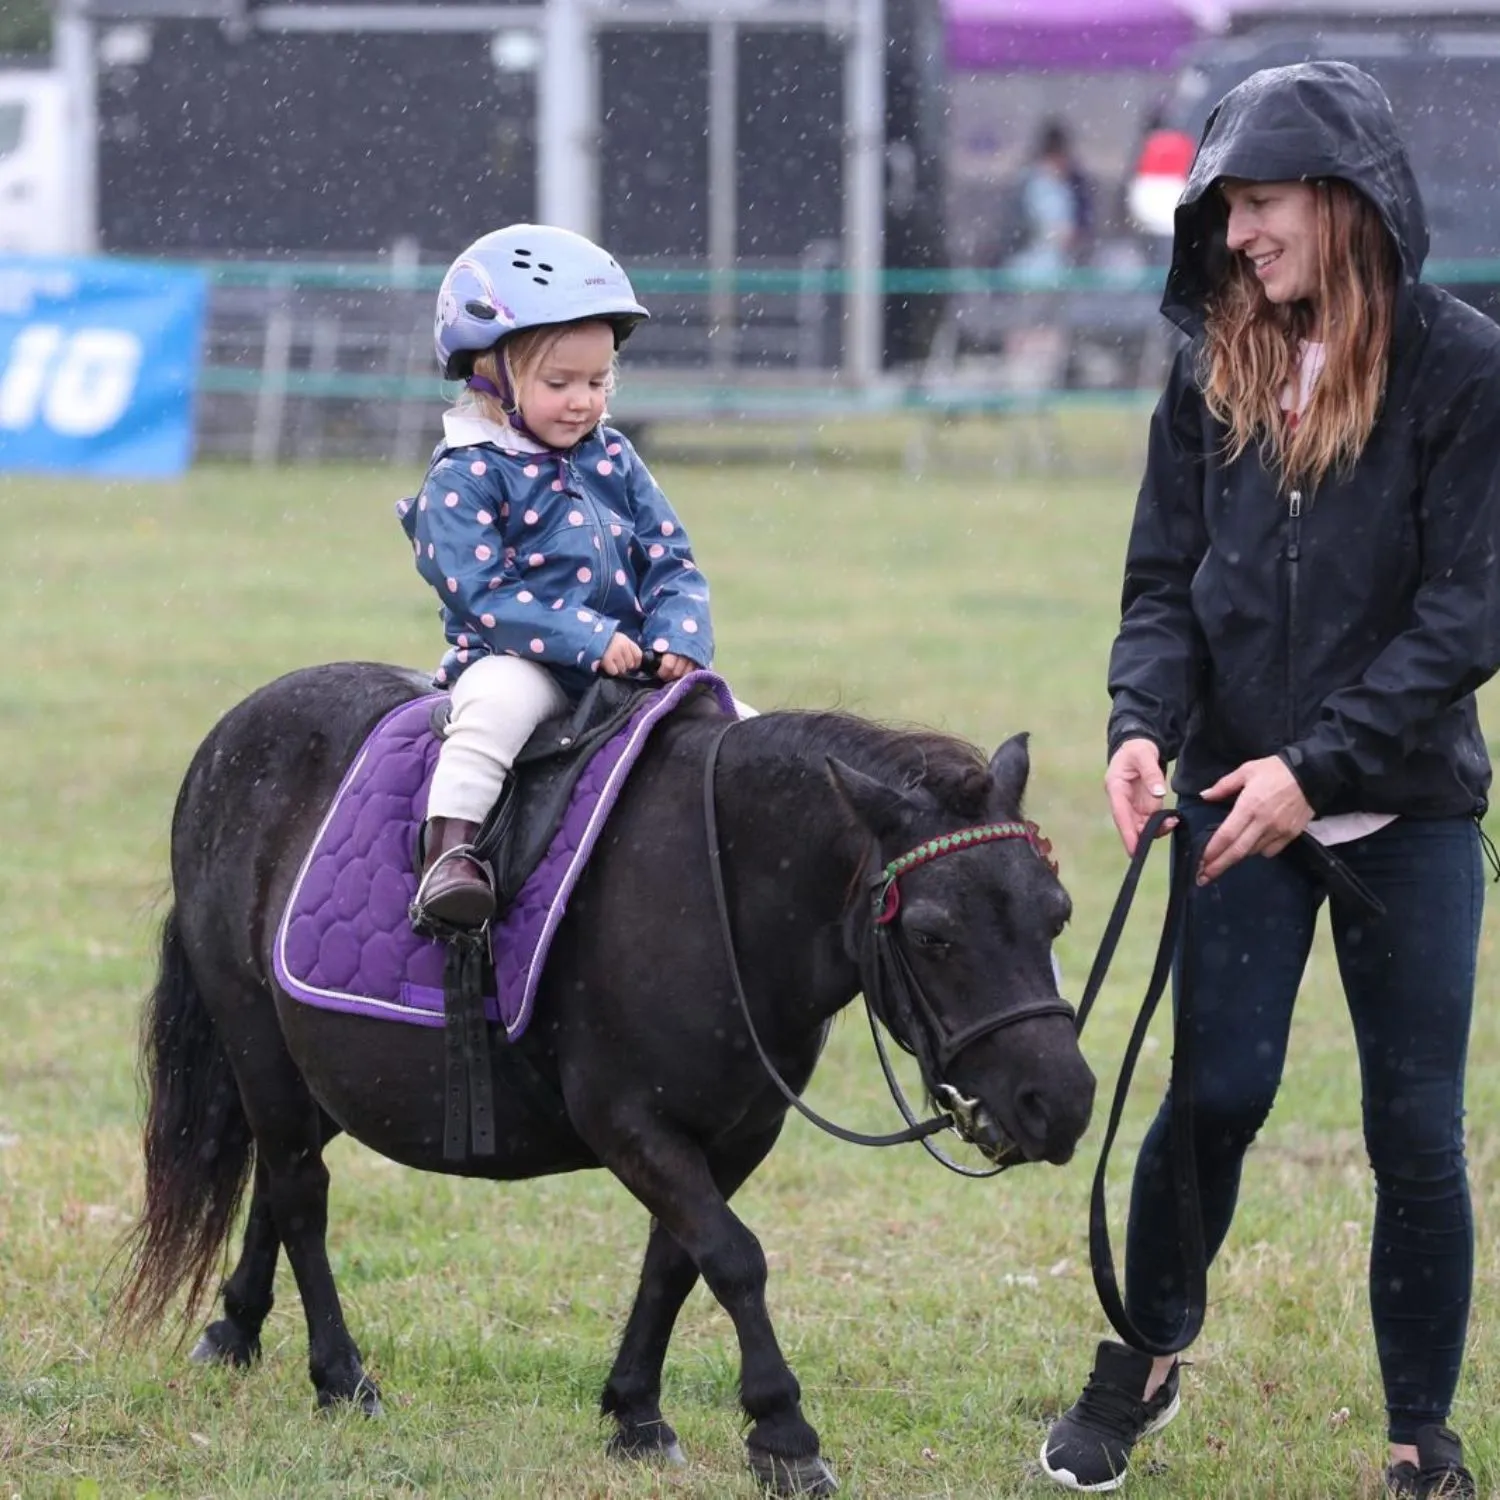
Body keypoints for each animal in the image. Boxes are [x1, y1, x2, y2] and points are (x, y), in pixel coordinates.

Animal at [117, 661, 1096, 1496]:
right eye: (933, 933)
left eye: (1057, 913)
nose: (1064, 1102)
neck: (719, 884)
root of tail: (234, 735)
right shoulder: (628, 1123)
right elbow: (734, 1258)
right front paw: (783, 1435)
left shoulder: (736, 1132)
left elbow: (677, 1262)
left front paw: (636, 1414)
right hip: (256, 1038)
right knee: (299, 1191)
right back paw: (340, 1376)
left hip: (312, 1064)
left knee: (274, 1183)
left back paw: (235, 1328)